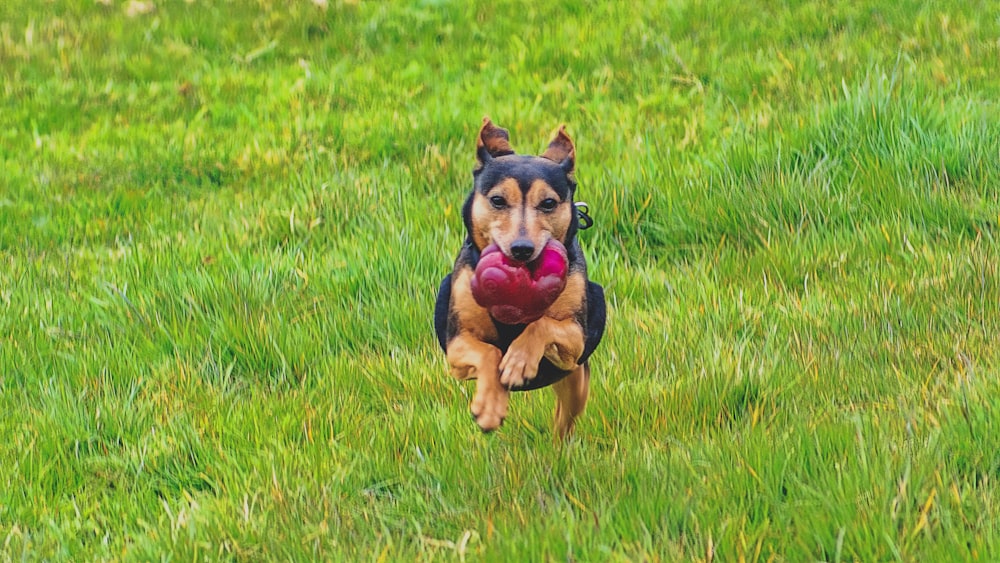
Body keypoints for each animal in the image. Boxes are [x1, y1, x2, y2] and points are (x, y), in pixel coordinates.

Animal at [434, 117, 604, 438]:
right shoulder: (457, 345)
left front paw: (518, 361)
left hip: (575, 379)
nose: (522, 249)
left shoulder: (576, 339)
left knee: (565, 417)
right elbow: (488, 352)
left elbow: (543, 324)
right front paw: (489, 406)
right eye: (497, 200)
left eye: (548, 203)